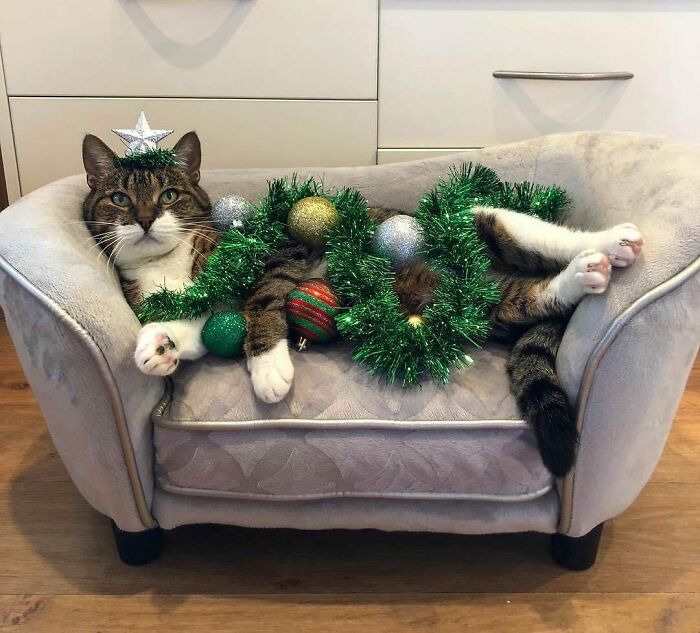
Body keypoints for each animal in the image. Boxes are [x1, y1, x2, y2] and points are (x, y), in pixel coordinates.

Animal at [79, 135, 644, 478]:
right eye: (120, 200)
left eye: (169, 195)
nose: (145, 219)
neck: (168, 265)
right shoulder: (196, 308)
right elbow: (198, 328)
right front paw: (158, 346)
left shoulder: (281, 254)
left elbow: (262, 301)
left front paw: (269, 369)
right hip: (492, 309)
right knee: (535, 295)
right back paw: (583, 276)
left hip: (486, 221)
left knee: (548, 237)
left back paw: (612, 244)